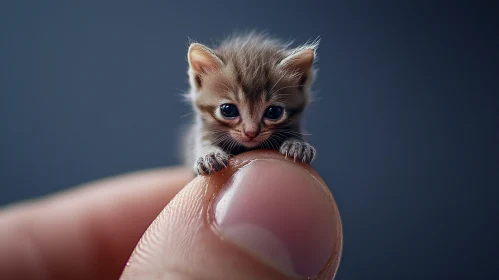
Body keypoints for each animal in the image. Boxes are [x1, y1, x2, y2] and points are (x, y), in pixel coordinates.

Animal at [183, 33, 316, 175]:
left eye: (274, 112)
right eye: (228, 110)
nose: (251, 132)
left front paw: (297, 144)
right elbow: (202, 143)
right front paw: (209, 154)